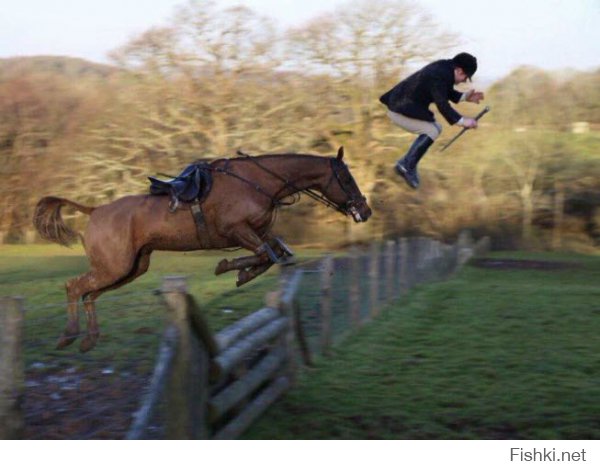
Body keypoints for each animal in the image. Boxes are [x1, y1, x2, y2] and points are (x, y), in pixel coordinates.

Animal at [34, 148, 370, 352]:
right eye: (346, 177)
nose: (365, 211)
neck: (258, 182)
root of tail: (94, 210)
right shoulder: (237, 230)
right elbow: (266, 254)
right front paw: (230, 268)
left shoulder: (258, 232)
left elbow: (274, 253)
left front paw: (241, 272)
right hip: (114, 267)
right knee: (74, 287)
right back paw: (69, 334)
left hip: (130, 269)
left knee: (89, 294)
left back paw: (89, 339)